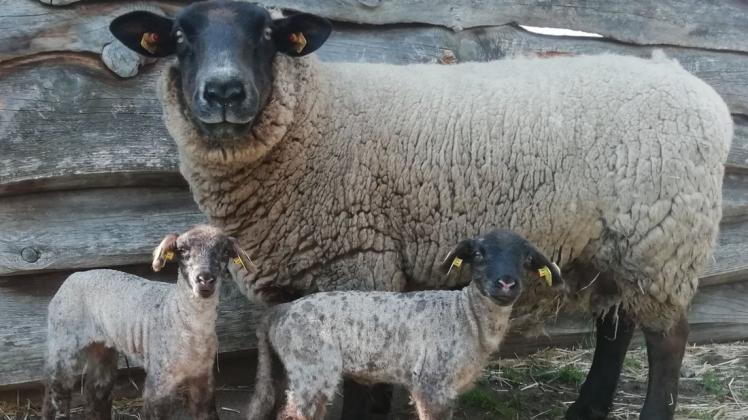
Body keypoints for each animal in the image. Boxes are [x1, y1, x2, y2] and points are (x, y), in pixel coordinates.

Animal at [41, 226, 258, 420]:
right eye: (183, 250)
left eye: (225, 252)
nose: (205, 279)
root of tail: (71, 277)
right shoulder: (158, 381)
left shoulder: (203, 378)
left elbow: (208, 414)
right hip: (64, 342)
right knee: (55, 393)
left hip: (101, 347)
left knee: (96, 392)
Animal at [248, 230, 564, 420]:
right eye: (478, 255)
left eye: (527, 259)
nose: (506, 284)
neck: (467, 316)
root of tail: (280, 311)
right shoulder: (432, 386)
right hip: (313, 369)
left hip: (289, 366)